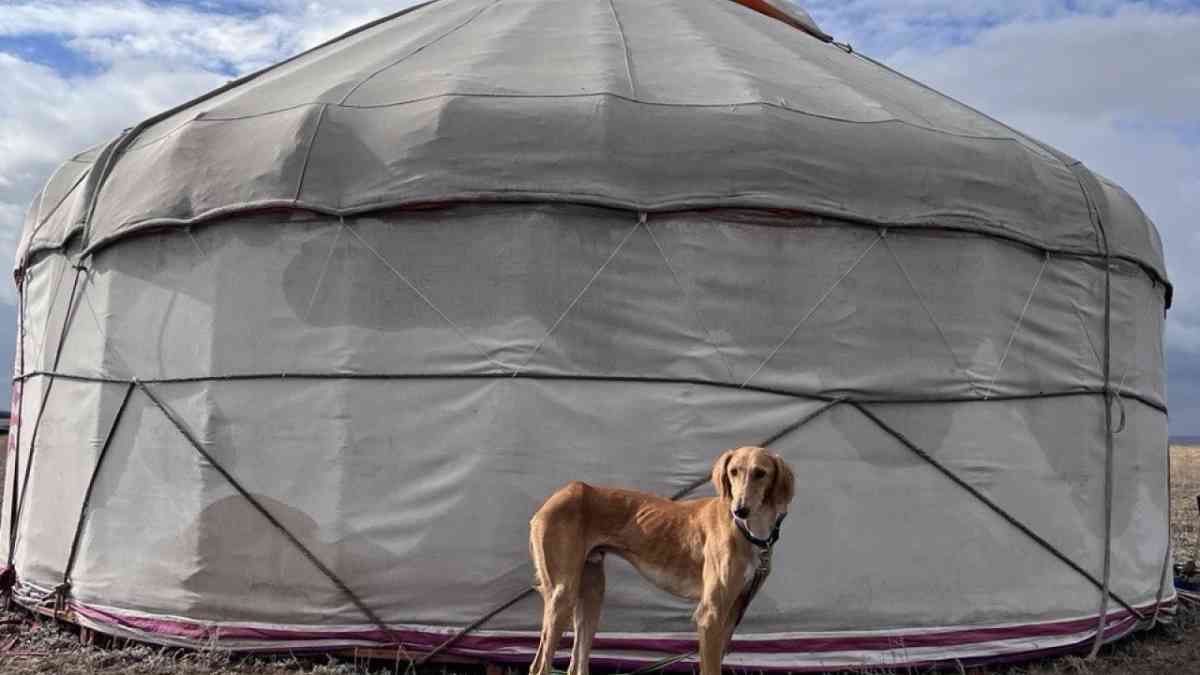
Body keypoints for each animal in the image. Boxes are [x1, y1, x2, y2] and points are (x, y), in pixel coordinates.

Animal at [528, 446, 792, 672]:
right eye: (733, 471)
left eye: (760, 473)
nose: (740, 510)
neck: (749, 531)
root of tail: (559, 494)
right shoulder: (710, 615)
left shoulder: (732, 613)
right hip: (563, 594)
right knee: (539, 666)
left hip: (591, 593)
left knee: (576, 666)